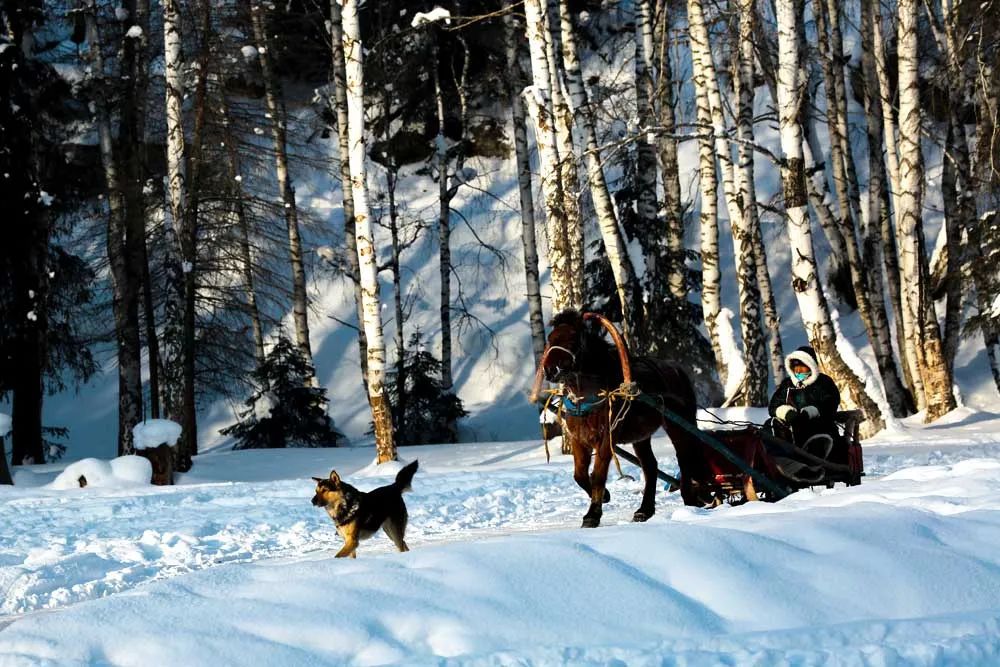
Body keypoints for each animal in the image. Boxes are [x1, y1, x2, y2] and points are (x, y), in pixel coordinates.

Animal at [532, 310, 704, 528]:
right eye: (550, 339)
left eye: (573, 339)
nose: (550, 369)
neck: (589, 397)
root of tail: (678, 370)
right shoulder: (579, 439)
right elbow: (579, 474)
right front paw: (604, 496)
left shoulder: (607, 438)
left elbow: (598, 475)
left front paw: (592, 515)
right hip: (641, 437)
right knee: (650, 466)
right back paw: (644, 510)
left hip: (678, 425)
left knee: (684, 459)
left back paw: (689, 500)